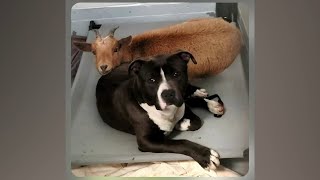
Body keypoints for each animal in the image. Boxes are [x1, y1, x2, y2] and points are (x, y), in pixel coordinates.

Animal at [96, 50, 224, 170]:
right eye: (151, 80)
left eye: (176, 74)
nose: (168, 93)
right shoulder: (146, 141)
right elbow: (180, 142)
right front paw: (205, 155)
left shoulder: (182, 105)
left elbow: (196, 121)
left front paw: (179, 123)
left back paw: (208, 100)